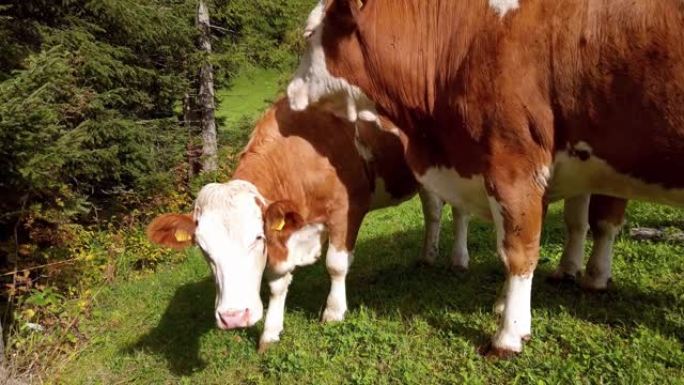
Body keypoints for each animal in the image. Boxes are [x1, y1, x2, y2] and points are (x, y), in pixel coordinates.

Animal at [144, 99, 464, 352]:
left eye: (257, 238)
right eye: (203, 249)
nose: (233, 316)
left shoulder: (345, 211)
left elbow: (336, 265)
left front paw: (333, 312)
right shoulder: (283, 236)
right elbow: (276, 283)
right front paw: (270, 332)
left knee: (459, 212)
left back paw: (459, 260)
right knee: (433, 210)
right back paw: (427, 255)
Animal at [286, 0, 680, 354]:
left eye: (308, 34)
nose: (288, 93)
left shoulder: (515, 165)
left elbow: (519, 251)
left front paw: (509, 334)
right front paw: (511, 304)